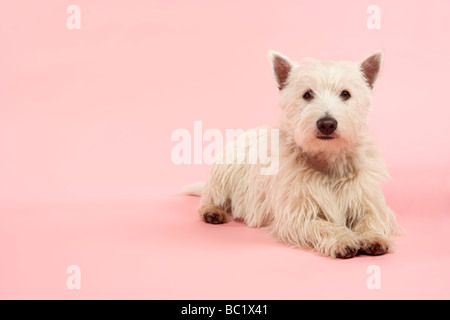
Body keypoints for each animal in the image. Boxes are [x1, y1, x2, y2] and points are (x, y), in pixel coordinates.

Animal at [183, 50, 400, 260]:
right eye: (307, 94)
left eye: (346, 94)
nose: (327, 124)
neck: (328, 160)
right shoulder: (296, 215)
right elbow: (323, 226)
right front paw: (343, 240)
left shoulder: (367, 201)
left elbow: (372, 218)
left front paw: (374, 237)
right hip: (224, 172)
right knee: (208, 198)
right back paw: (213, 212)